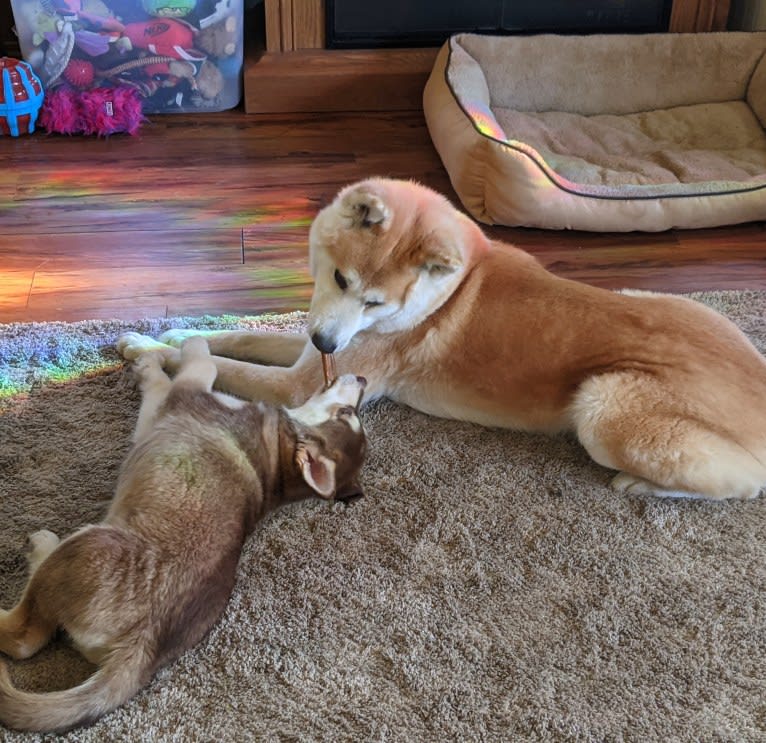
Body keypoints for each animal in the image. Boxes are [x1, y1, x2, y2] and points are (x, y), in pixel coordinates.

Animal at [0, 340, 368, 736]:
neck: (279, 459)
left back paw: (40, 550)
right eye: (350, 411)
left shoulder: (183, 395)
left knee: (23, 638)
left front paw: (177, 347)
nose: (363, 378)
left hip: (89, 546)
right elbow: (167, 379)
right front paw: (150, 359)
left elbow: (200, 364)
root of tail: (145, 648)